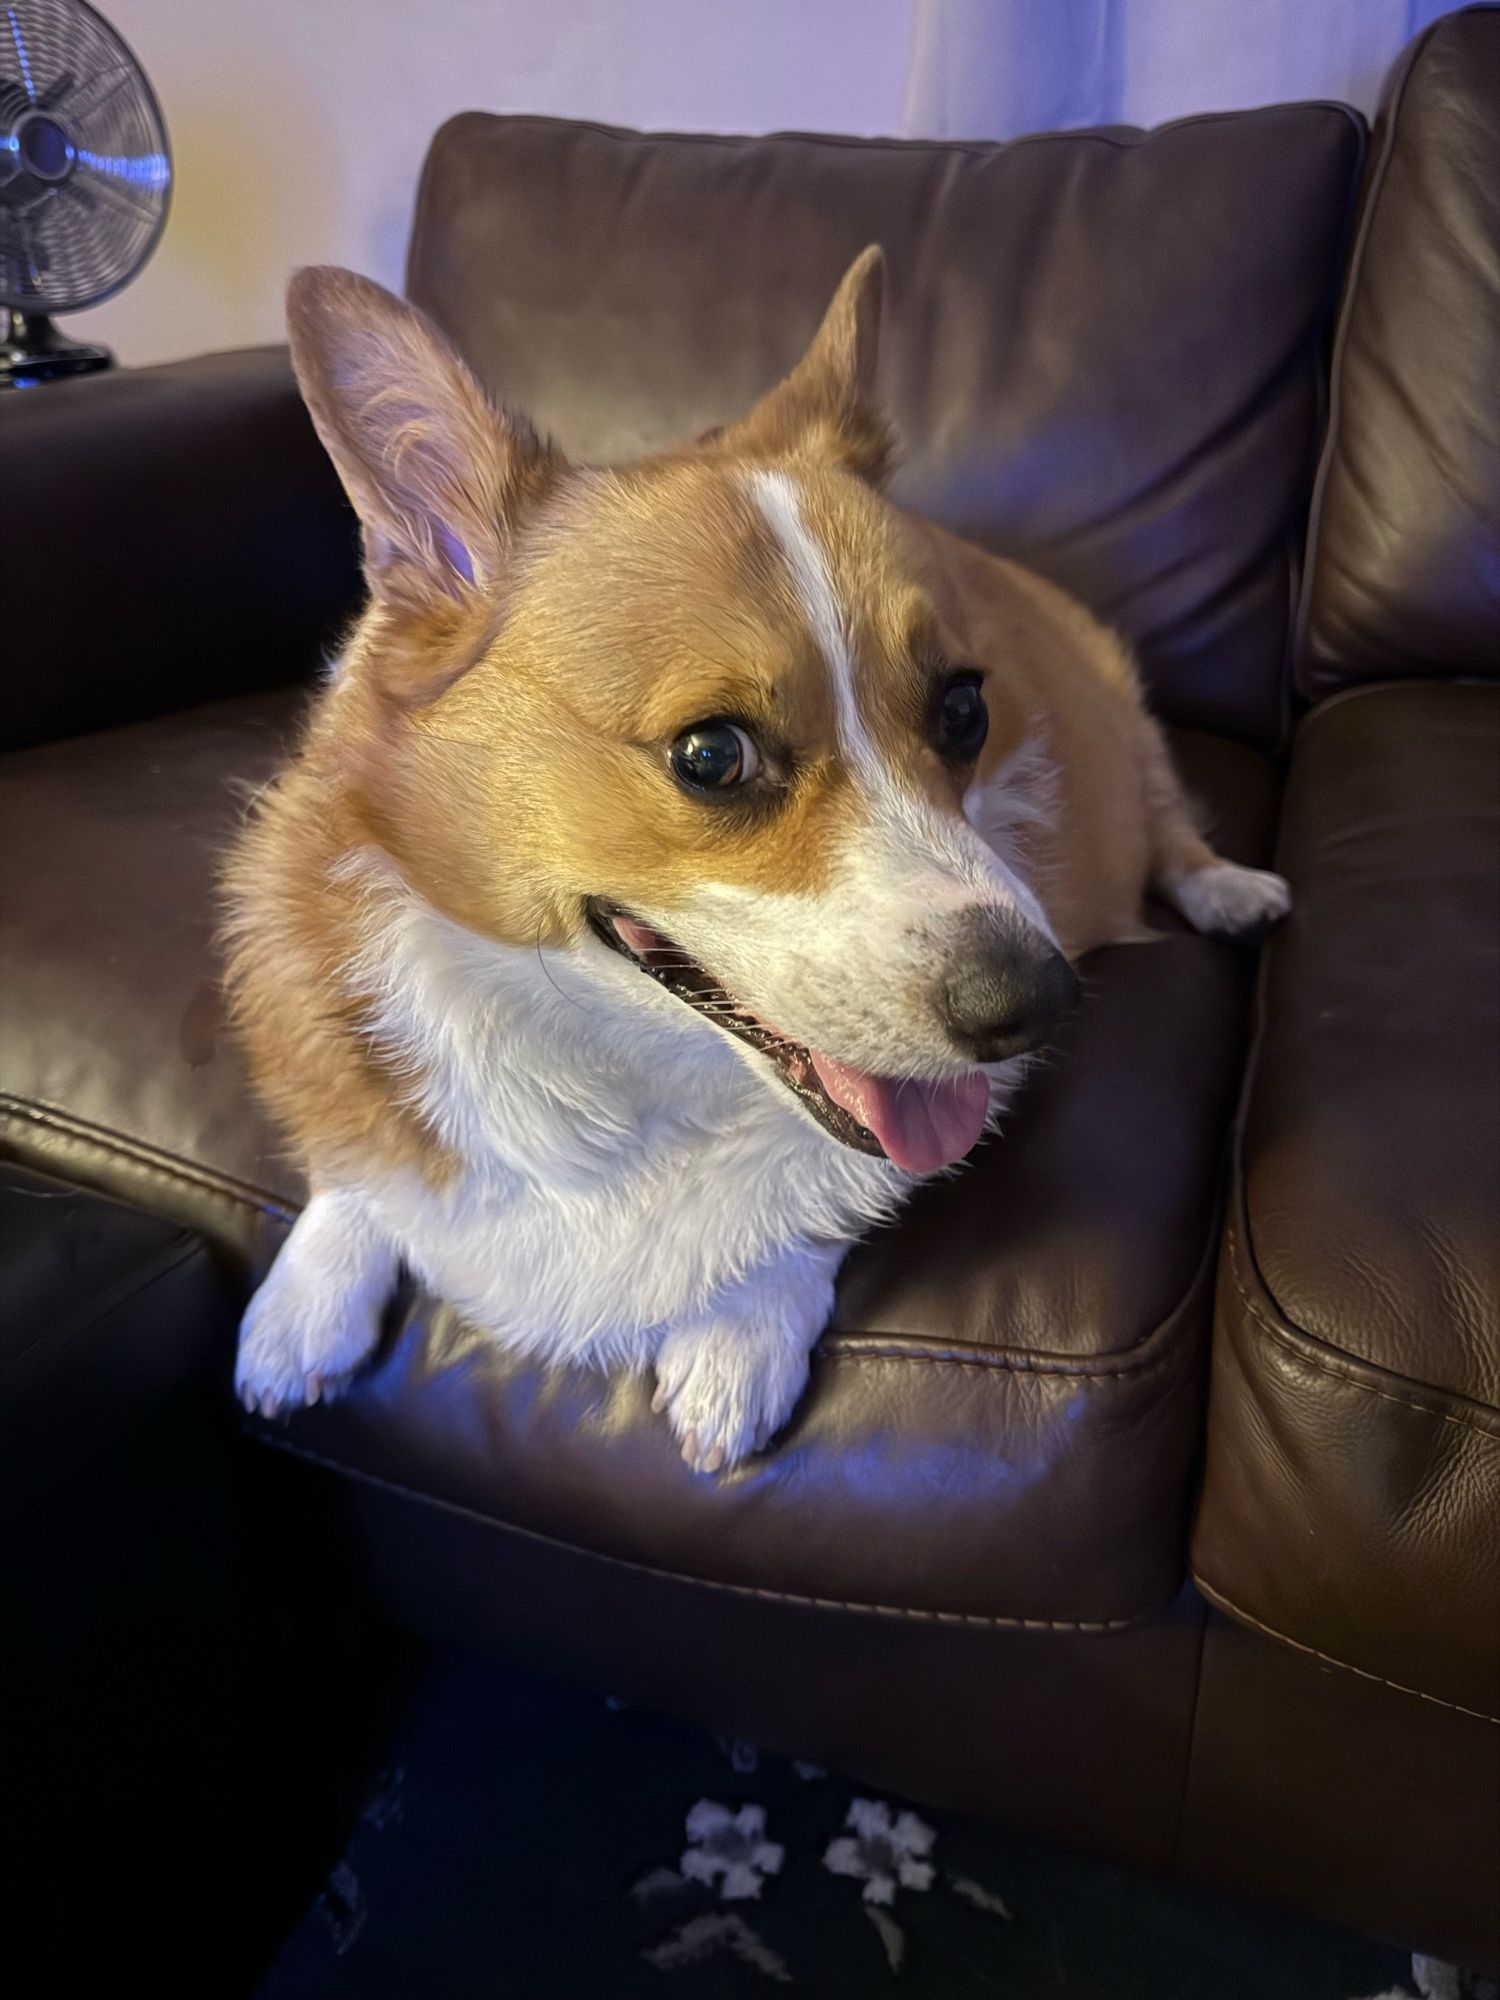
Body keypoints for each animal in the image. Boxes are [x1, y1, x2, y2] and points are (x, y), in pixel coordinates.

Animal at [226, 246, 1296, 1472]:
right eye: (711, 754)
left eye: (964, 708)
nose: (1041, 1002)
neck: (617, 1064)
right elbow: (361, 1163)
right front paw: (304, 1301)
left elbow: (830, 1200)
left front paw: (738, 1334)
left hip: (1130, 717)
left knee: (1172, 825)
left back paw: (1232, 890)